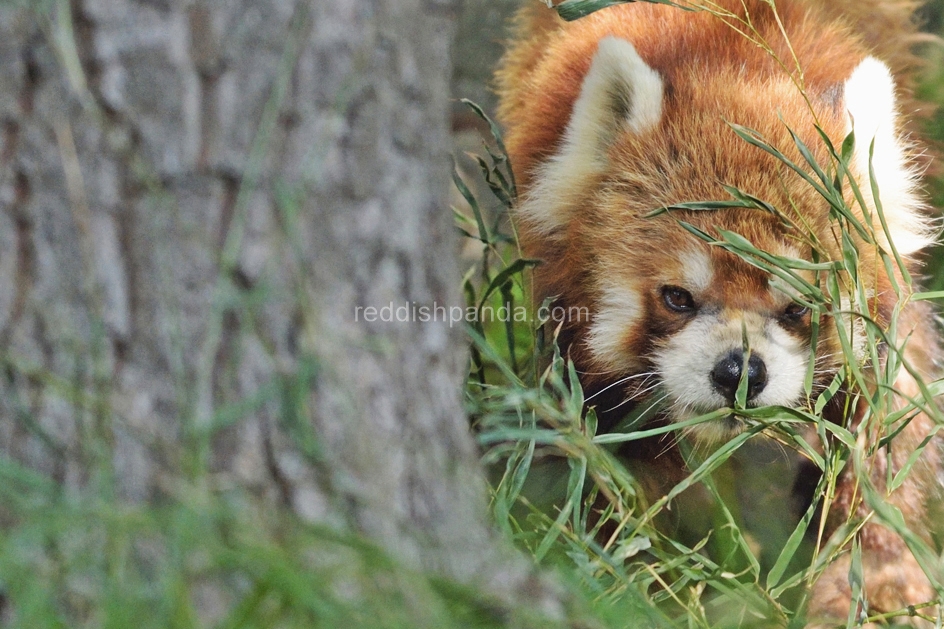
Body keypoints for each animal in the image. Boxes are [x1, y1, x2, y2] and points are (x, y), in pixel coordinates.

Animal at [498, 0, 940, 620]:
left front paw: (877, 574)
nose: (740, 373)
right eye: (678, 298)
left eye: (798, 307)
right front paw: (637, 574)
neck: (734, 63)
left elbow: (887, 430)